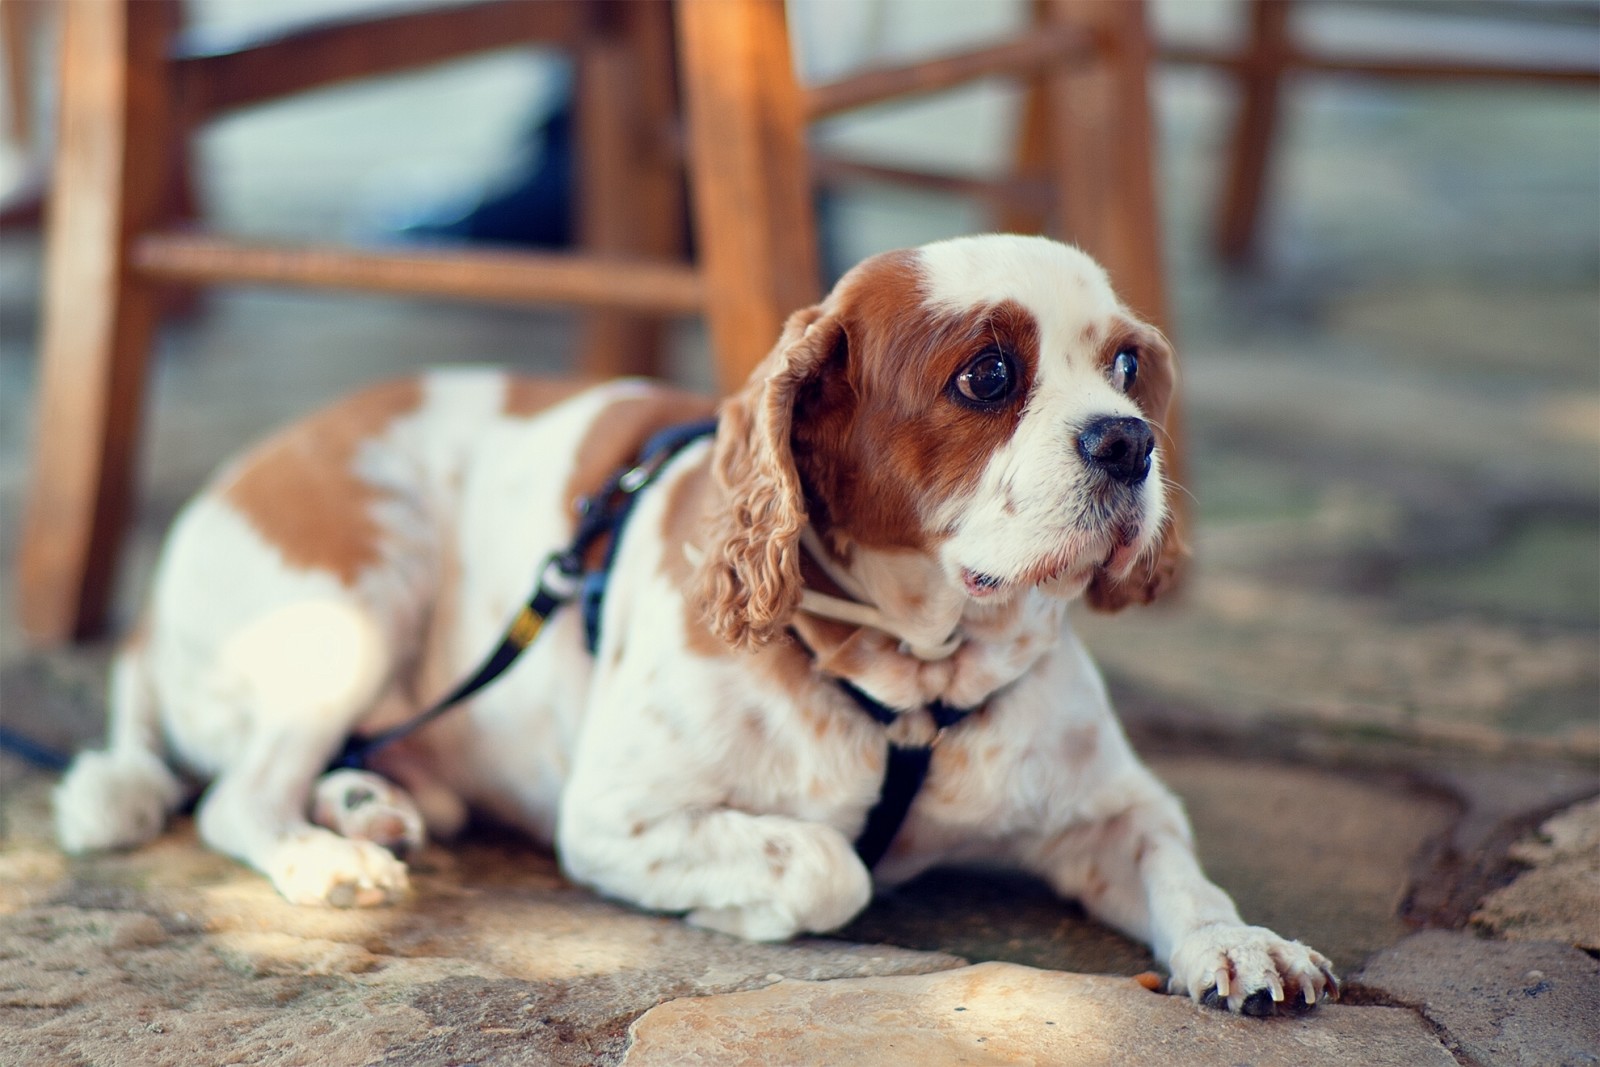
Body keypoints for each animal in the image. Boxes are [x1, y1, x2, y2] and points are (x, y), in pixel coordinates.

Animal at [59, 235, 1337, 1017]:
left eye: (1124, 363)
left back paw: (373, 796)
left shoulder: (1117, 810)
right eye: (985, 374)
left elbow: (1184, 873)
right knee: (235, 796)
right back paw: (325, 849)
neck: (913, 675)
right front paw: (756, 904)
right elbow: (827, 862)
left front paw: (1241, 940)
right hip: (358, 593)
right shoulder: (614, 816)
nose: (1131, 441)